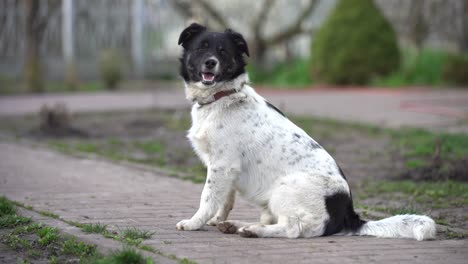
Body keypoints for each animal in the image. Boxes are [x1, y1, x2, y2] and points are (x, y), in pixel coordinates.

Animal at [175, 23, 436, 240]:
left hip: (285, 188)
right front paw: (216, 220)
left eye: (223, 51)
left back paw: (253, 230)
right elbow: (225, 199)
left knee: (293, 228)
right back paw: (236, 225)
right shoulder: (225, 168)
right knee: (276, 221)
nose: (210, 62)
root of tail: (348, 214)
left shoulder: (223, 165)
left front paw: (194, 223)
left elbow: (208, 198)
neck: (222, 97)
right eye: (201, 48)